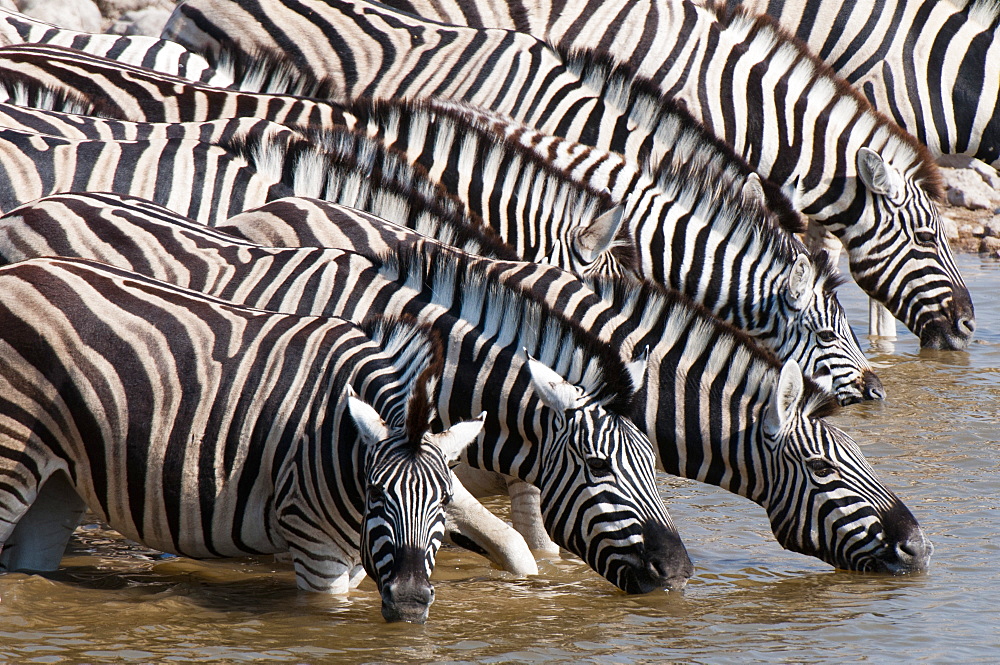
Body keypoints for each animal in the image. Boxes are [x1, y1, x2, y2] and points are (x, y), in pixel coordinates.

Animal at [0, 255, 488, 624]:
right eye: (375, 494)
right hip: (11, 451)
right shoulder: (316, 548)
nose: (410, 603)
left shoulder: (352, 557)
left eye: (444, 500)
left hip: (58, 476)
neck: (336, 436)